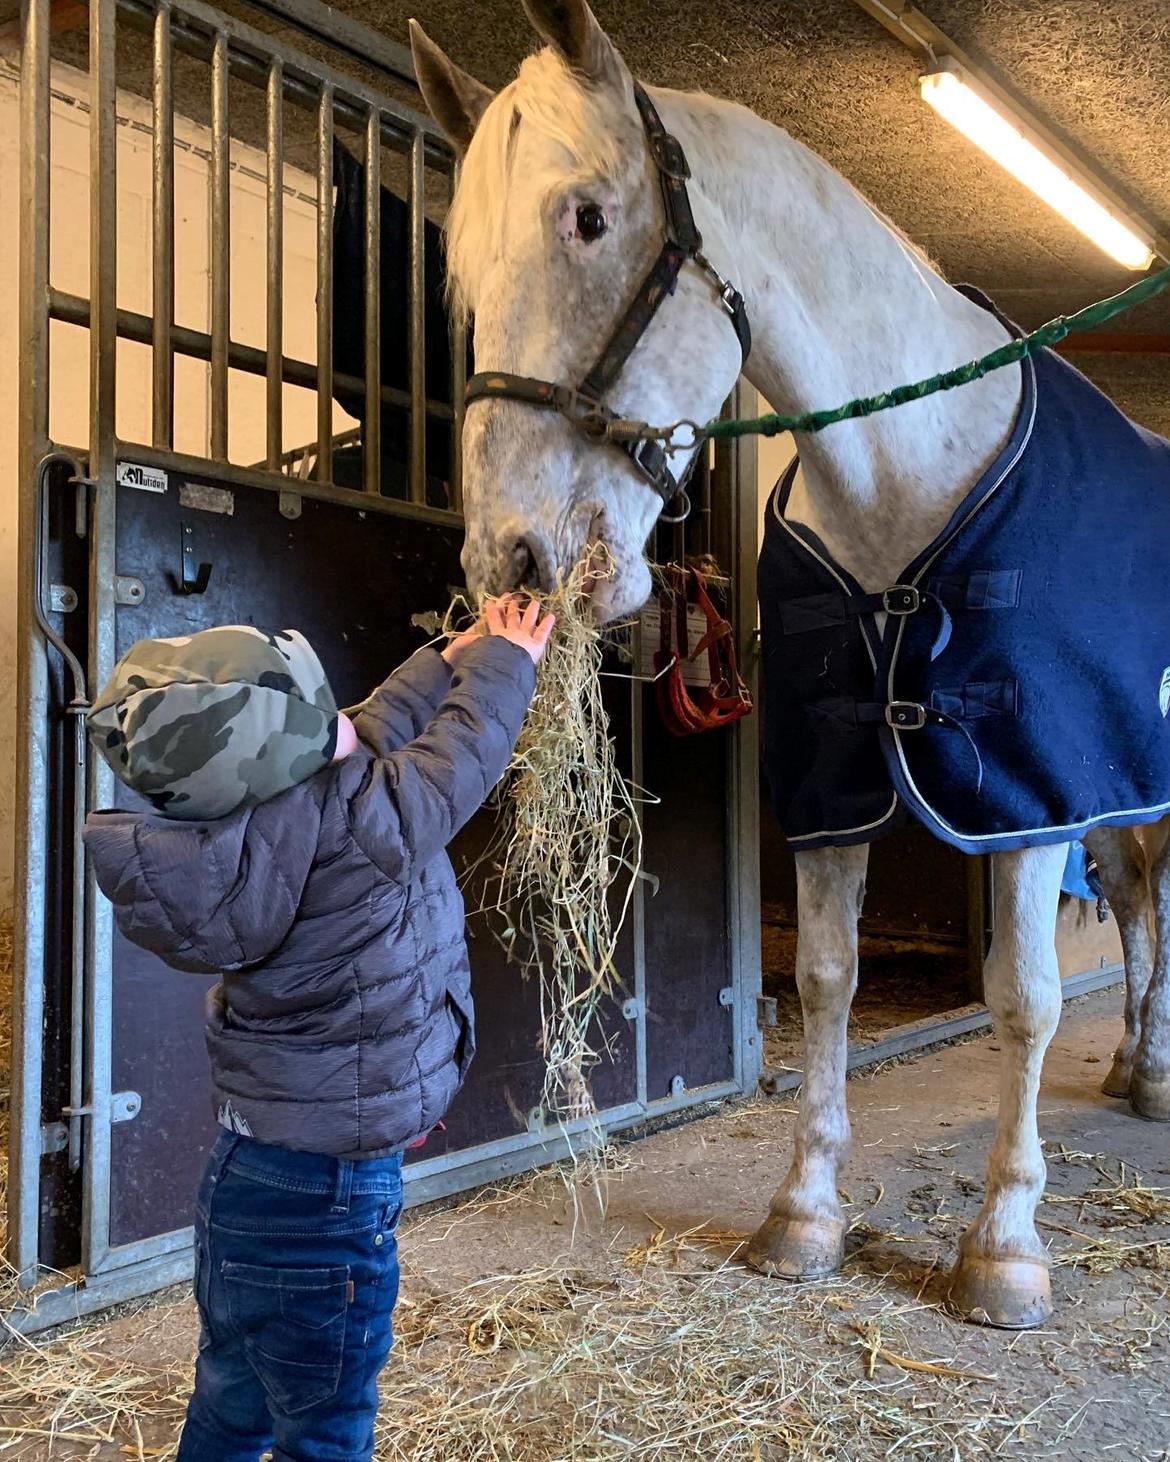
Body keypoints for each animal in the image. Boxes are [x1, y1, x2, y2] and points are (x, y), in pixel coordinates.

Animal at [409, 0, 1170, 1327]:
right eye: (460, 262)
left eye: (587, 216)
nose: (514, 553)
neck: (903, 469)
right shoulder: (834, 779)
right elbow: (822, 976)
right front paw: (804, 1211)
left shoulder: (1030, 783)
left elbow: (1023, 996)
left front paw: (1005, 1244)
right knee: (1136, 905)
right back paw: (1135, 1065)